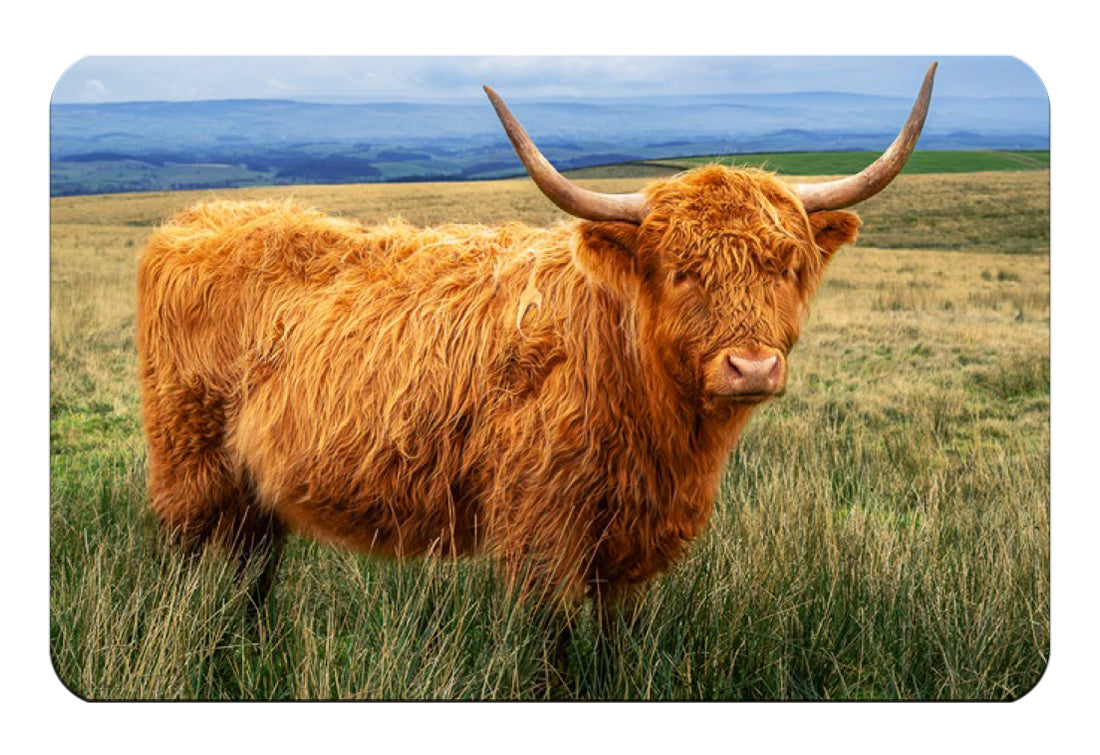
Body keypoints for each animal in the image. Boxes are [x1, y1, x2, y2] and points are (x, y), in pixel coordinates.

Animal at [136, 64, 937, 616]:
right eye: (681, 270)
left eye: (787, 265)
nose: (752, 366)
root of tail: (198, 220)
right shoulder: (539, 534)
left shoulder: (627, 554)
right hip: (191, 473)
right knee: (186, 581)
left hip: (254, 495)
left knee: (250, 580)